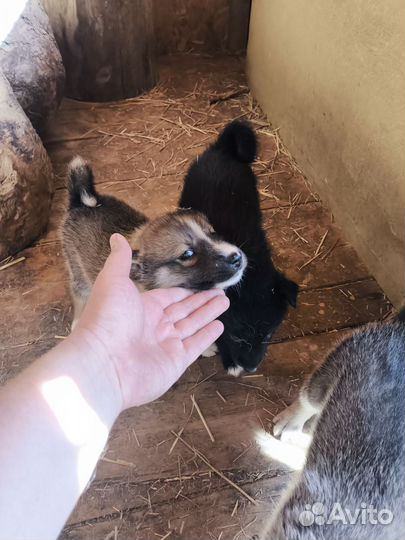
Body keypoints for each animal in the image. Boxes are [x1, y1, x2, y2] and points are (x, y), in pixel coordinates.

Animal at [62, 157, 246, 330]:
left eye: (212, 232)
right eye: (187, 254)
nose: (237, 258)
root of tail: (83, 202)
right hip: (77, 269)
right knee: (79, 292)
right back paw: (78, 322)